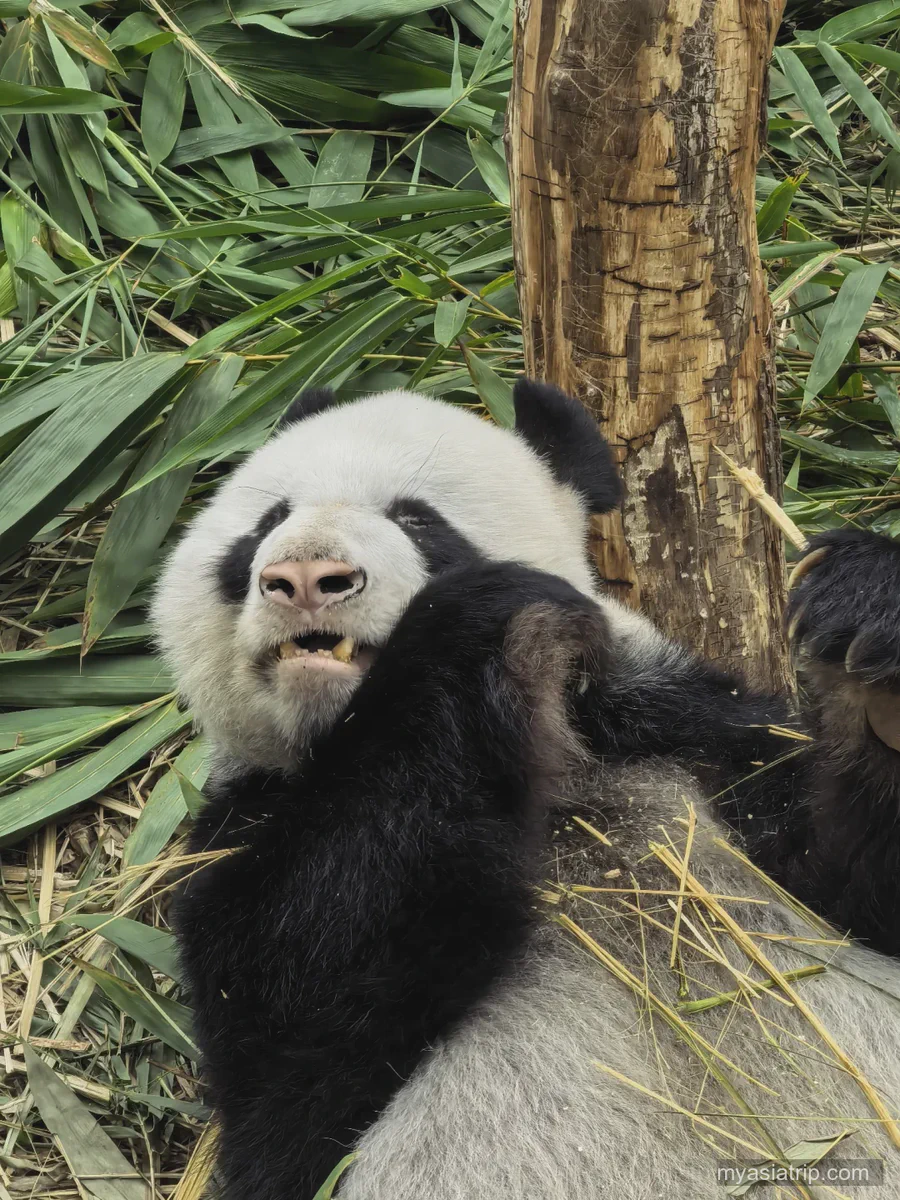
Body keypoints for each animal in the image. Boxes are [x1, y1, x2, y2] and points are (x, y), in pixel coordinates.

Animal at [152, 380, 900, 1200]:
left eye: (417, 518)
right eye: (267, 524)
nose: (306, 578)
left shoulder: (681, 741)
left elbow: (852, 876)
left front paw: (868, 619)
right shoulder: (241, 825)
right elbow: (293, 1023)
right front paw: (472, 621)